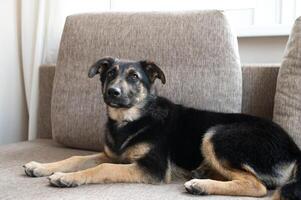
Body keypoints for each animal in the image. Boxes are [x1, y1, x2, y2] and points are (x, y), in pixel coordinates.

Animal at [24, 57, 300, 199]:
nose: (113, 92)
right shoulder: (111, 154)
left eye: (134, 77)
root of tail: (295, 149)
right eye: (110, 74)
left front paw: (66, 177)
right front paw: (41, 166)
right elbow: (76, 158)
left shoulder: (151, 167)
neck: (130, 120)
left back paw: (202, 185)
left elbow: (102, 168)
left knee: (258, 186)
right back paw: (202, 174)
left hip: (217, 134)